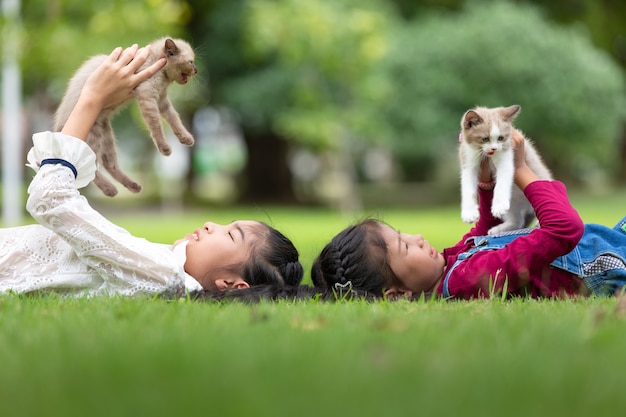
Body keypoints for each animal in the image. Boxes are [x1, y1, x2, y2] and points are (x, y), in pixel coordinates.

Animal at [52, 37, 196, 197]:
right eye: (191, 62)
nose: (196, 70)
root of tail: (59, 123)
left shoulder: (162, 100)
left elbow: (174, 118)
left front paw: (186, 138)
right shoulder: (148, 98)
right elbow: (156, 126)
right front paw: (165, 148)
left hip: (106, 136)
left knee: (110, 164)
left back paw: (133, 186)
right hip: (93, 137)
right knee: (89, 168)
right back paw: (110, 190)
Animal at [458, 105, 552, 234]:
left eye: (501, 138)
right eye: (485, 139)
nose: (494, 148)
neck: (487, 156)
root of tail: (525, 207)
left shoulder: (506, 157)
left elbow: (501, 183)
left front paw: (499, 205)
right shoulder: (468, 162)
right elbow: (468, 189)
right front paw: (469, 213)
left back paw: (538, 222)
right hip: (512, 204)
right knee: (518, 221)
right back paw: (500, 228)